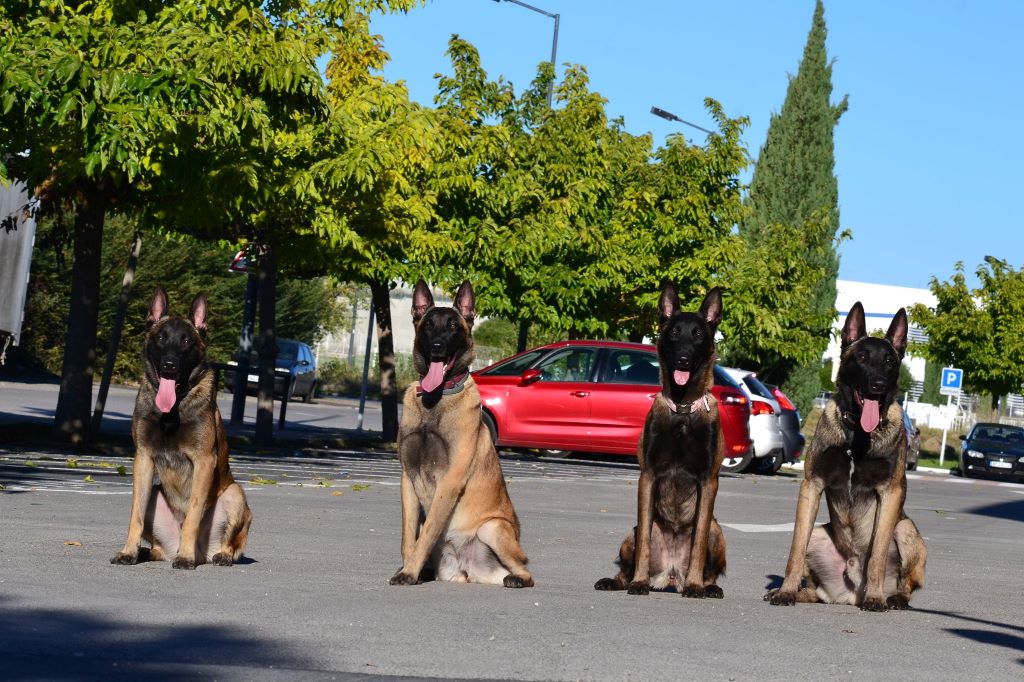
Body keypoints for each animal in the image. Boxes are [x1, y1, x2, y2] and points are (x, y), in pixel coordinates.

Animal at [111, 286, 250, 569]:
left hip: (235, 494)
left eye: (186, 341)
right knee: (157, 546)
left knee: (231, 545)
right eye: (161, 338)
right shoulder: (143, 459)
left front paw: (185, 558)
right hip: (155, 494)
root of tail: (203, 553)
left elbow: (194, 514)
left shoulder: (204, 461)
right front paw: (128, 551)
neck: (171, 412)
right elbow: (135, 515)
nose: (169, 366)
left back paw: (212, 555)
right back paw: (150, 552)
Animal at [389, 278, 536, 585]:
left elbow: (427, 532)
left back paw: (516, 578)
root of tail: (468, 567)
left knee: (526, 572)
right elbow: (409, 536)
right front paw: (408, 568)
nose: (437, 347)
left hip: (492, 528)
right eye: (428, 325)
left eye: (453, 326)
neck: (435, 398)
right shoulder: (407, 478)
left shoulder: (450, 480)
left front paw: (409, 571)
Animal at [593, 280, 729, 593]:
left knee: (710, 561)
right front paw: (639, 581)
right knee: (629, 560)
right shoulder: (648, 476)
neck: (682, 410)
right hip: (628, 535)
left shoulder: (709, 482)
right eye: (674, 332)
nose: (683, 359)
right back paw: (620, 581)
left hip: (718, 531)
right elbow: (644, 540)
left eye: (698, 334)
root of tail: (671, 574)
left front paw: (696, 586)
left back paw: (706, 586)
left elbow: (699, 539)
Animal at [770, 303, 929, 610]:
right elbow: (795, 549)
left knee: (906, 584)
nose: (878, 384)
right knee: (814, 586)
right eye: (862, 357)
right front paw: (786, 591)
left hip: (906, 530)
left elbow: (877, 554)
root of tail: (850, 594)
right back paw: (800, 593)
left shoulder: (890, 493)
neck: (857, 434)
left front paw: (876, 598)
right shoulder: (811, 486)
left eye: (889, 361)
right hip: (820, 534)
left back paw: (891, 598)